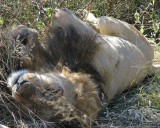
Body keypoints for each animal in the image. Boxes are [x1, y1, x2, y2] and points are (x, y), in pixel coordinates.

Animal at [7, 8, 159, 127]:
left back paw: (86, 14)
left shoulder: (66, 19)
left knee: (97, 20)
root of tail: (151, 65)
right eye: (31, 109)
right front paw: (16, 34)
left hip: (108, 21)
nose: (19, 85)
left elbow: (44, 25)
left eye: (52, 93)